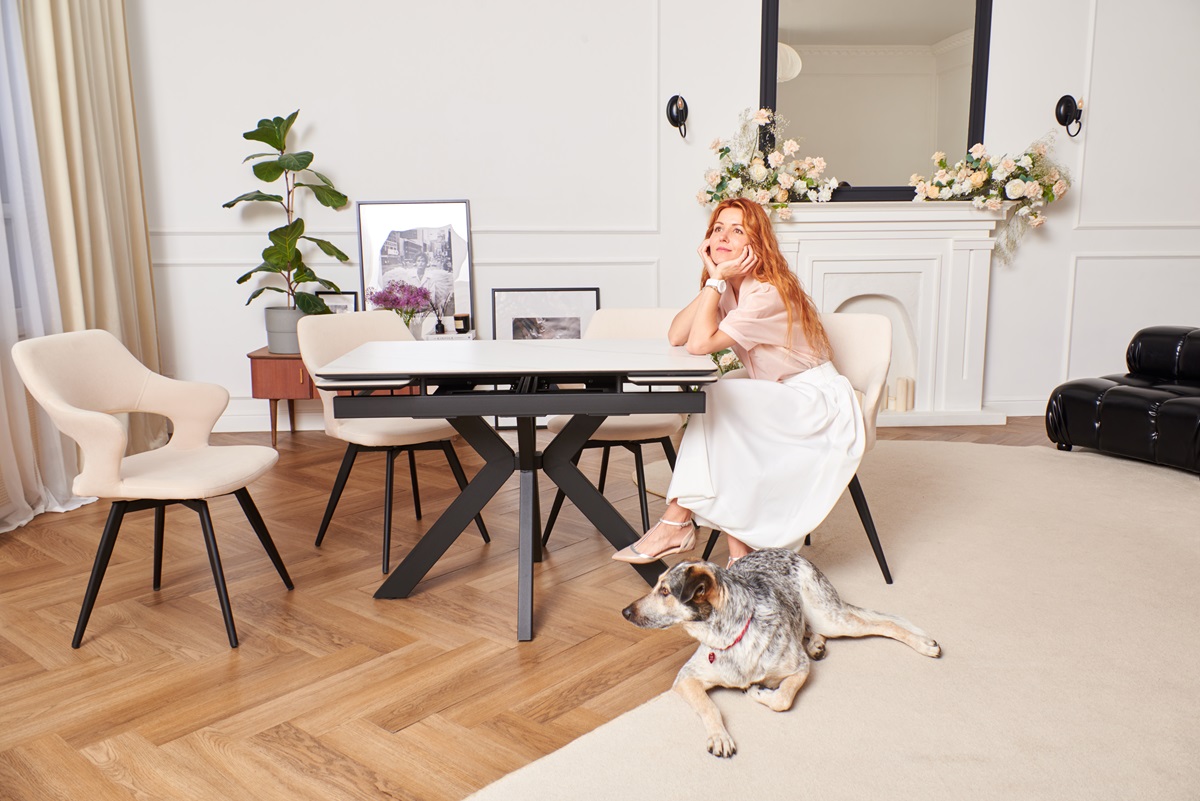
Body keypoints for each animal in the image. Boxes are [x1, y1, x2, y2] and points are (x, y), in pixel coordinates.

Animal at [621, 548, 940, 757]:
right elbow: (708, 706)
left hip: (830, 617)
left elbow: (783, 699)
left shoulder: (799, 669)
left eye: (665, 591)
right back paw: (815, 644)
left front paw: (760, 692)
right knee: (808, 628)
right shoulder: (686, 678)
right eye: (656, 585)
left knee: (883, 624)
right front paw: (719, 736)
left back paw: (923, 644)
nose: (624, 611)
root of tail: (793, 552)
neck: (731, 637)